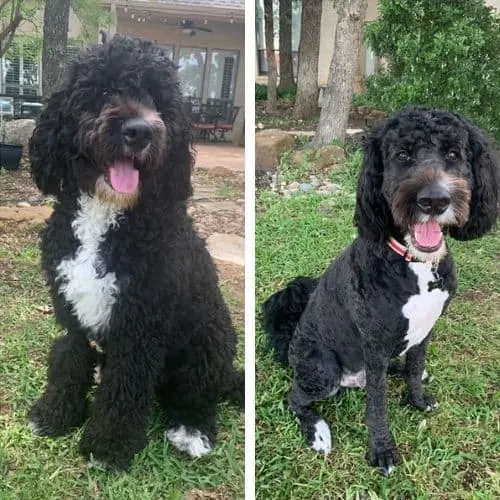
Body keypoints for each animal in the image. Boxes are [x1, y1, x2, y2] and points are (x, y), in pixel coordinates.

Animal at [29, 35, 244, 472]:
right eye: (103, 92)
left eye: (158, 101)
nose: (140, 131)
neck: (107, 214)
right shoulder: (72, 314)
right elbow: (69, 361)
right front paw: (56, 414)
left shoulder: (139, 327)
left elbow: (123, 389)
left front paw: (108, 446)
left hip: (207, 344)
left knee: (200, 395)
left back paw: (192, 430)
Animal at [264, 107, 498, 474]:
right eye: (401, 156)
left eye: (452, 154)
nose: (434, 200)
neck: (415, 264)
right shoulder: (373, 345)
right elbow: (377, 404)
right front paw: (382, 450)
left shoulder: (426, 330)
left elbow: (415, 368)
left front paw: (417, 400)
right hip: (323, 369)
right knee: (296, 398)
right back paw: (317, 431)